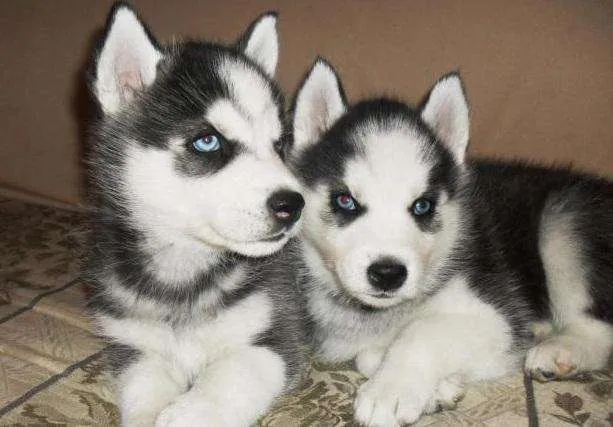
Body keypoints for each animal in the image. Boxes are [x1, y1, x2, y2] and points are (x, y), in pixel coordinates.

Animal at [83, 4, 308, 427]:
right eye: (207, 141)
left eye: (280, 144)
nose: (293, 204)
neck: (184, 267)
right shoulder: (133, 346)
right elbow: (144, 389)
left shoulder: (277, 335)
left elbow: (231, 376)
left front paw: (189, 411)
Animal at [288, 58, 612, 426]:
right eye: (345, 200)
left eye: (422, 206)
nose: (388, 274)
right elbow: (368, 354)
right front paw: (438, 388)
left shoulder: (497, 317)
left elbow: (422, 333)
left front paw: (390, 389)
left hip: (564, 222)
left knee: (597, 329)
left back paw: (559, 350)